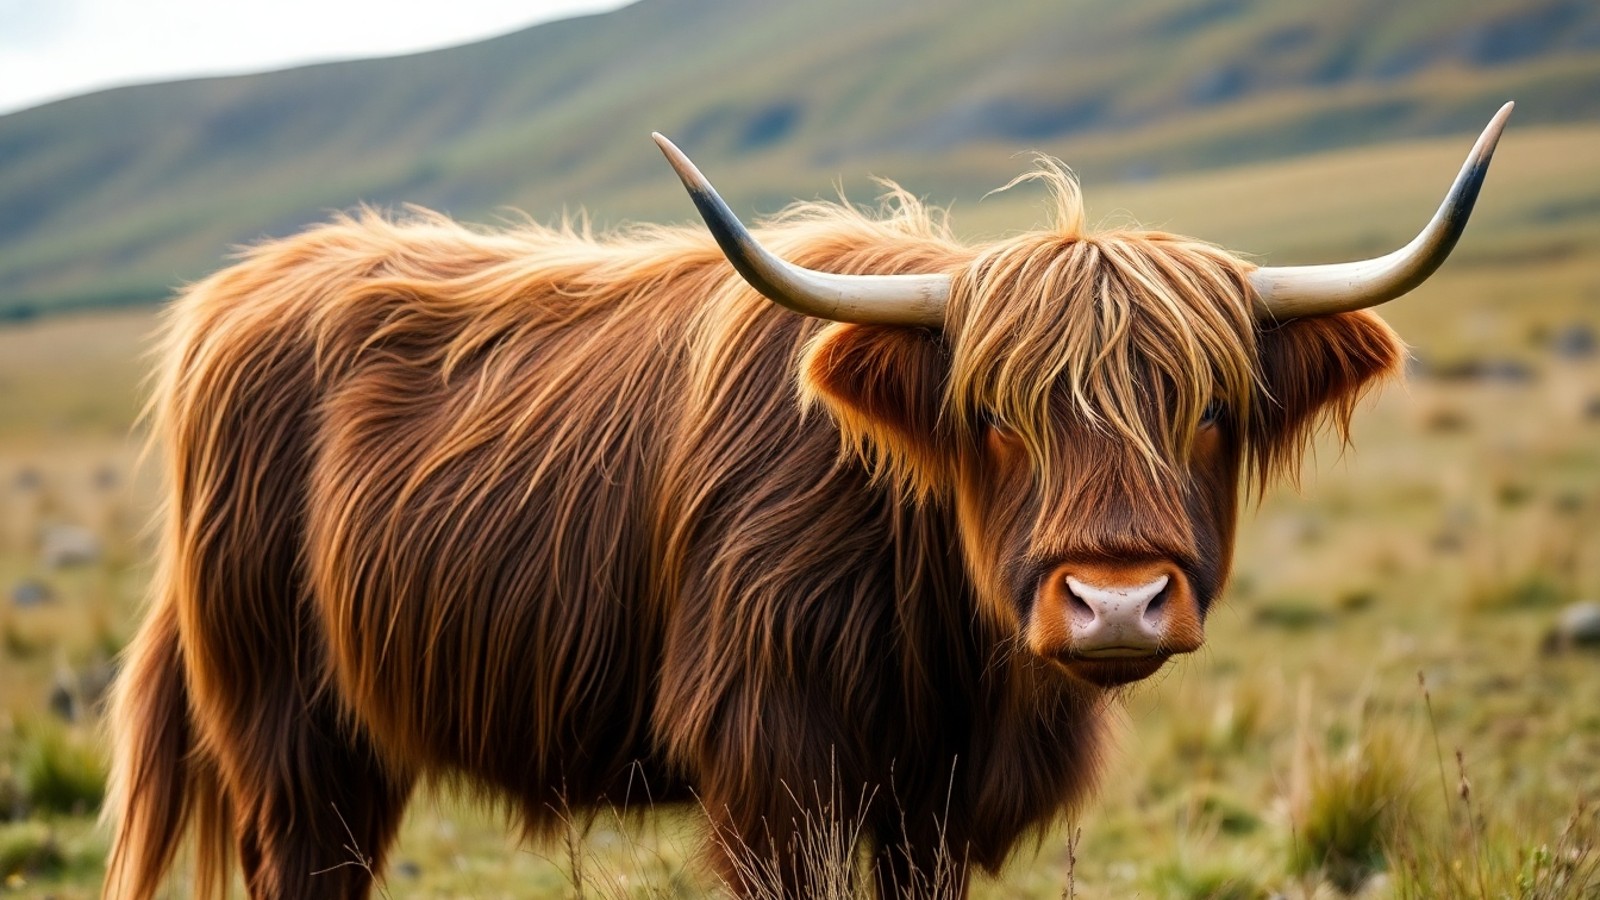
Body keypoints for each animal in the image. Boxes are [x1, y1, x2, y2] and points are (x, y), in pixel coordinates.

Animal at [103, 103, 1512, 899]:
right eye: (991, 417)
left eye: (1209, 410)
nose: (1116, 603)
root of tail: (238, 291)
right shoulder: (775, 765)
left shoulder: (933, 805)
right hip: (289, 732)